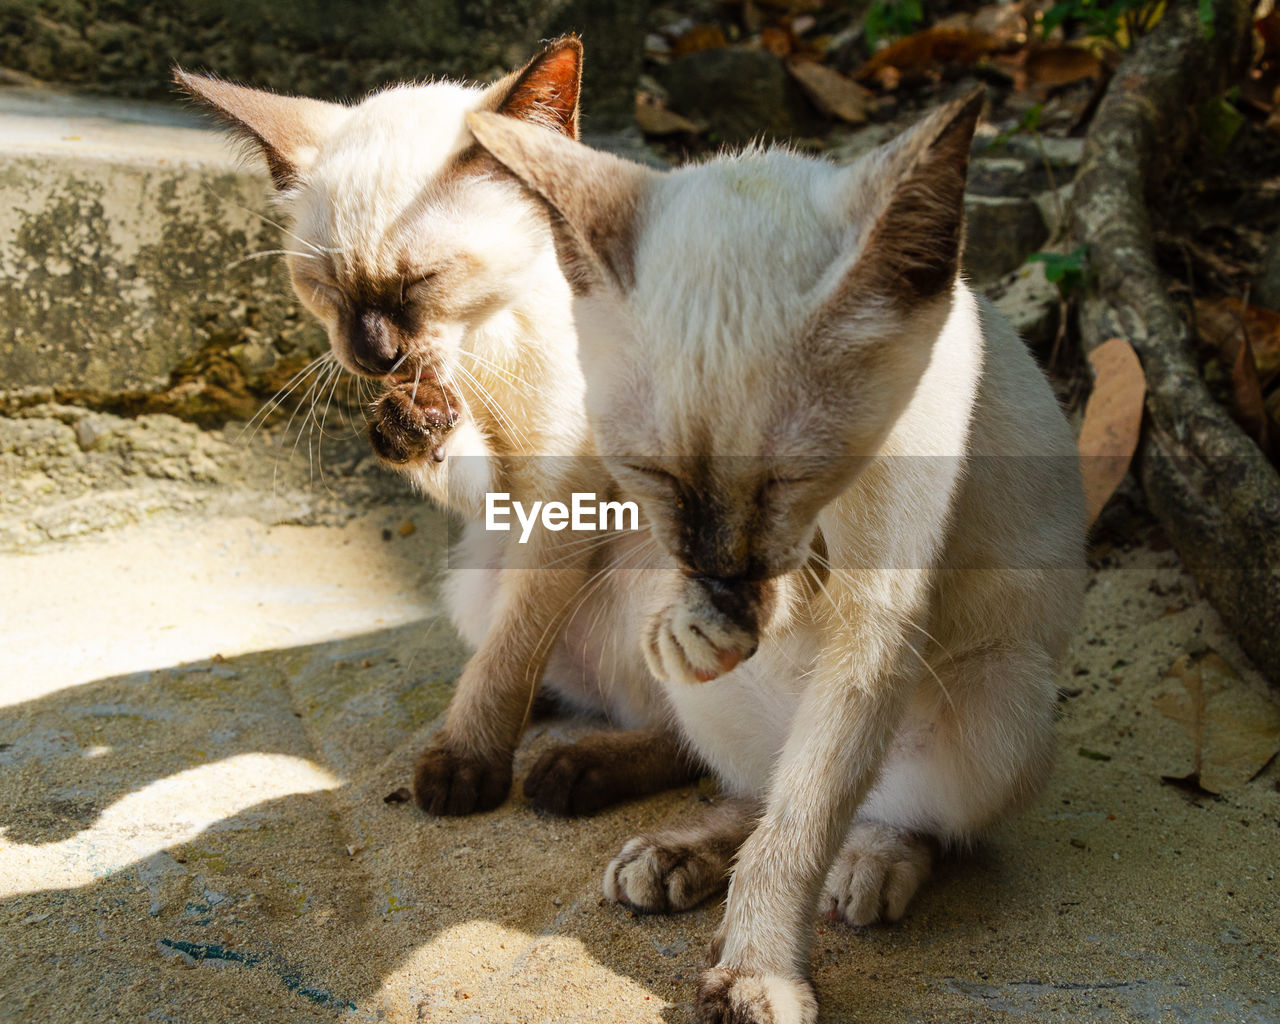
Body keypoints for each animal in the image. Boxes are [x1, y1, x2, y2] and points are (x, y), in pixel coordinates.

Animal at [175, 40, 696, 819]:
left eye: (419, 283)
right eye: (328, 291)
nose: (374, 355)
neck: (484, 346)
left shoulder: (565, 499)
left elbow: (513, 648)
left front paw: (466, 765)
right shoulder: (505, 496)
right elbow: (454, 466)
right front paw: (409, 421)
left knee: (706, 741)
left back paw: (575, 774)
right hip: (476, 571)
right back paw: (548, 707)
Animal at [471, 96, 1090, 1024]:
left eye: (789, 477)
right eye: (650, 474)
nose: (721, 570)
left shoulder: (875, 627)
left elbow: (799, 832)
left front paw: (758, 972)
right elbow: (774, 787)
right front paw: (696, 625)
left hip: (1003, 696)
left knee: (883, 810)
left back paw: (866, 866)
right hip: (719, 704)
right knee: (754, 787)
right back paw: (661, 846)